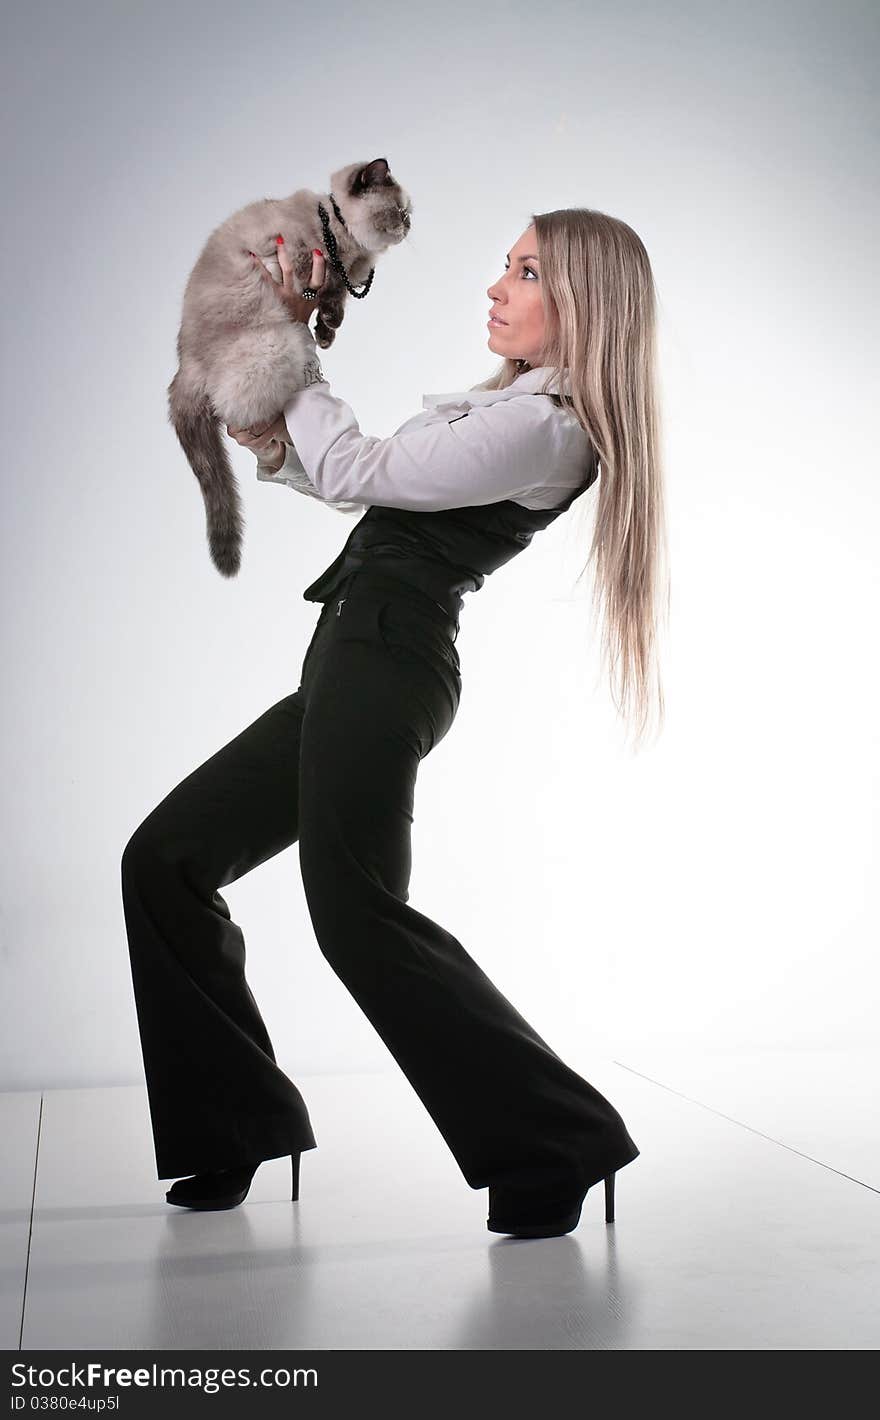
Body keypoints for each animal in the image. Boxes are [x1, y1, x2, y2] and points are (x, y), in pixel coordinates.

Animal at [166, 155, 414, 576]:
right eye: (397, 211)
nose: (408, 225)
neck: (344, 242)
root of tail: (184, 366)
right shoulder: (303, 265)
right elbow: (327, 289)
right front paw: (325, 326)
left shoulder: (338, 280)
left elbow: (335, 300)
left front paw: (326, 333)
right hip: (276, 345)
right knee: (236, 409)